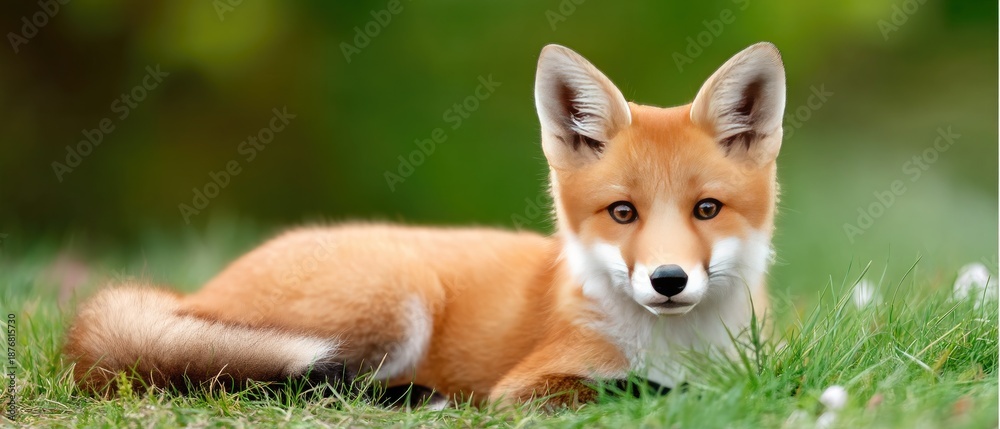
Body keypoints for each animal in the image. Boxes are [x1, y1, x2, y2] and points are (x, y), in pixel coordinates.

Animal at [65, 42, 786, 408]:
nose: (668, 280)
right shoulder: (527, 388)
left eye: (706, 209)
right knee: (277, 383)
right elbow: (631, 391)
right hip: (398, 297)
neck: (683, 344)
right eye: (623, 212)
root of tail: (195, 292)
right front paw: (669, 388)